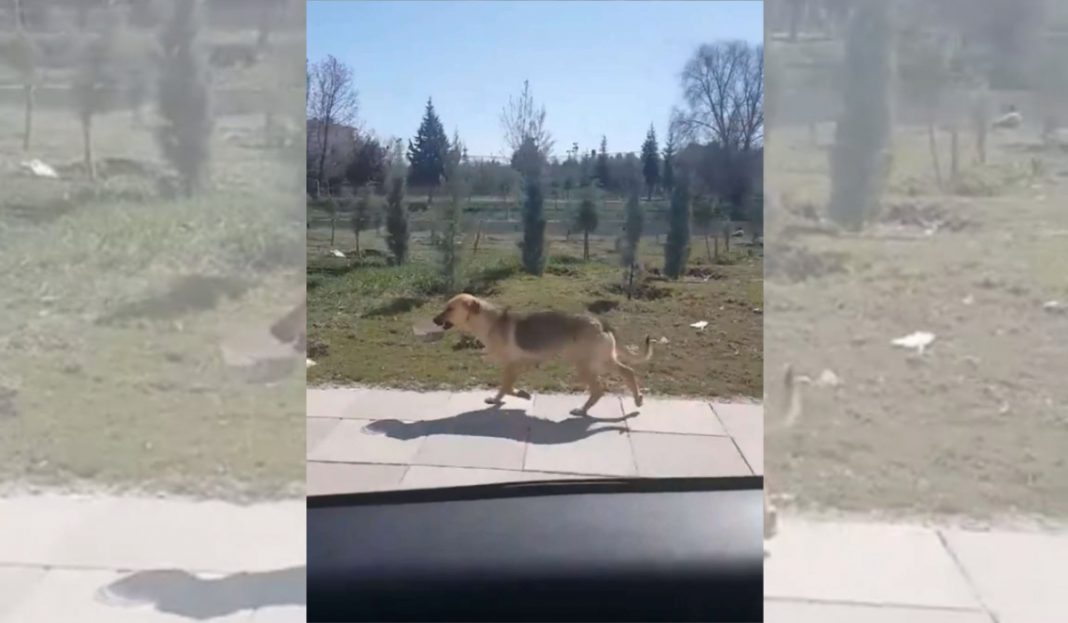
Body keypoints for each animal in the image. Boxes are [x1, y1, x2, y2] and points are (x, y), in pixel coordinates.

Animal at [431, 292, 649, 414]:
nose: (434, 319)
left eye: (449, 309)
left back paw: (583, 410)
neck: (491, 322)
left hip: (585, 364)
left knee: (600, 388)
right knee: (628, 371)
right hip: (601, 360)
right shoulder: (520, 364)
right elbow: (506, 387)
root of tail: (601, 322)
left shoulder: (511, 364)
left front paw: (517, 395)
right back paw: (637, 399)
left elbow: (507, 387)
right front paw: (503, 398)